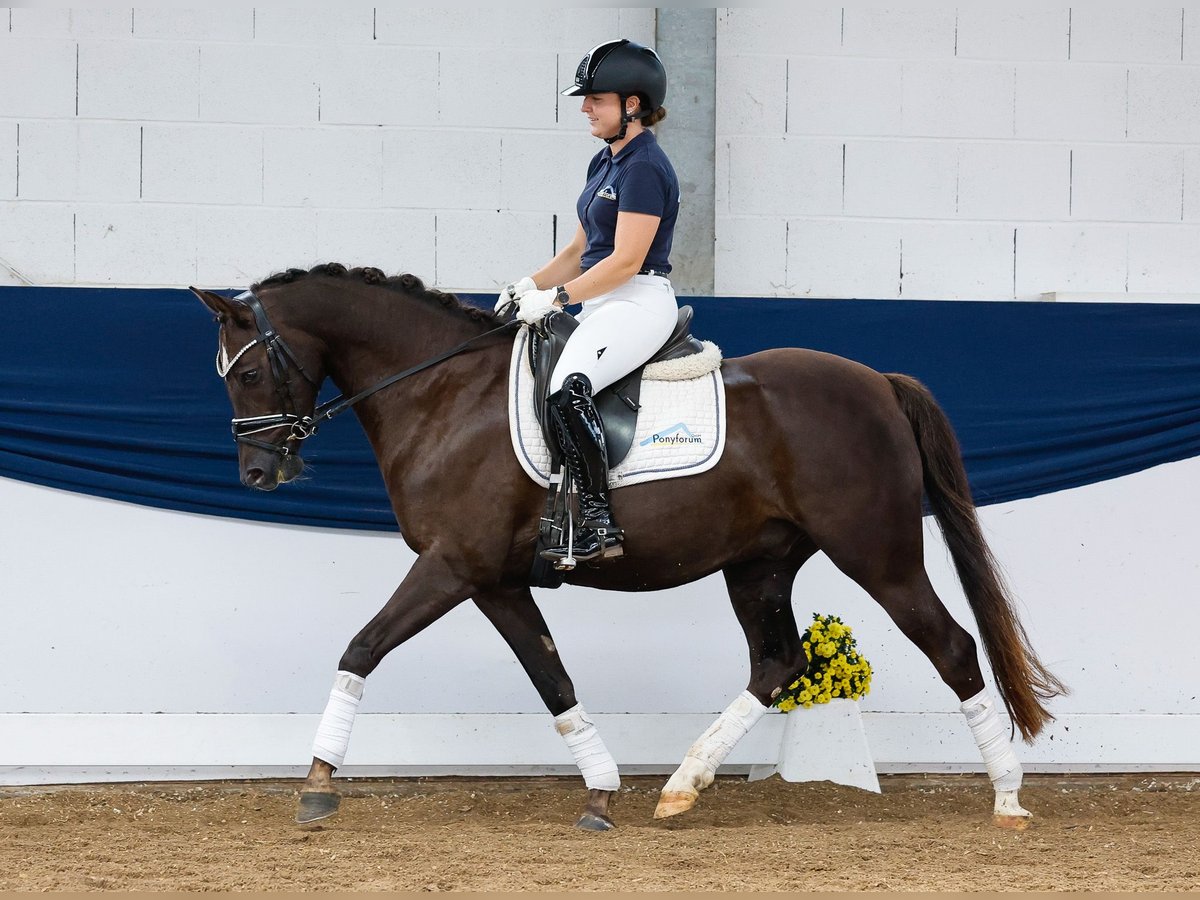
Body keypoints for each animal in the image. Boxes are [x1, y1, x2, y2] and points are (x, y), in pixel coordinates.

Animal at [189, 264, 1070, 835]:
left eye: (251, 372)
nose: (259, 472)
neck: (442, 395)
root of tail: (880, 383)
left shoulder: (451, 564)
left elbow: (361, 647)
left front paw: (316, 784)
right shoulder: (494, 580)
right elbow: (552, 679)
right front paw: (602, 792)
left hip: (877, 553)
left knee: (951, 647)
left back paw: (1007, 797)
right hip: (759, 563)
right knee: (778, 662)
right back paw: (681, 787)